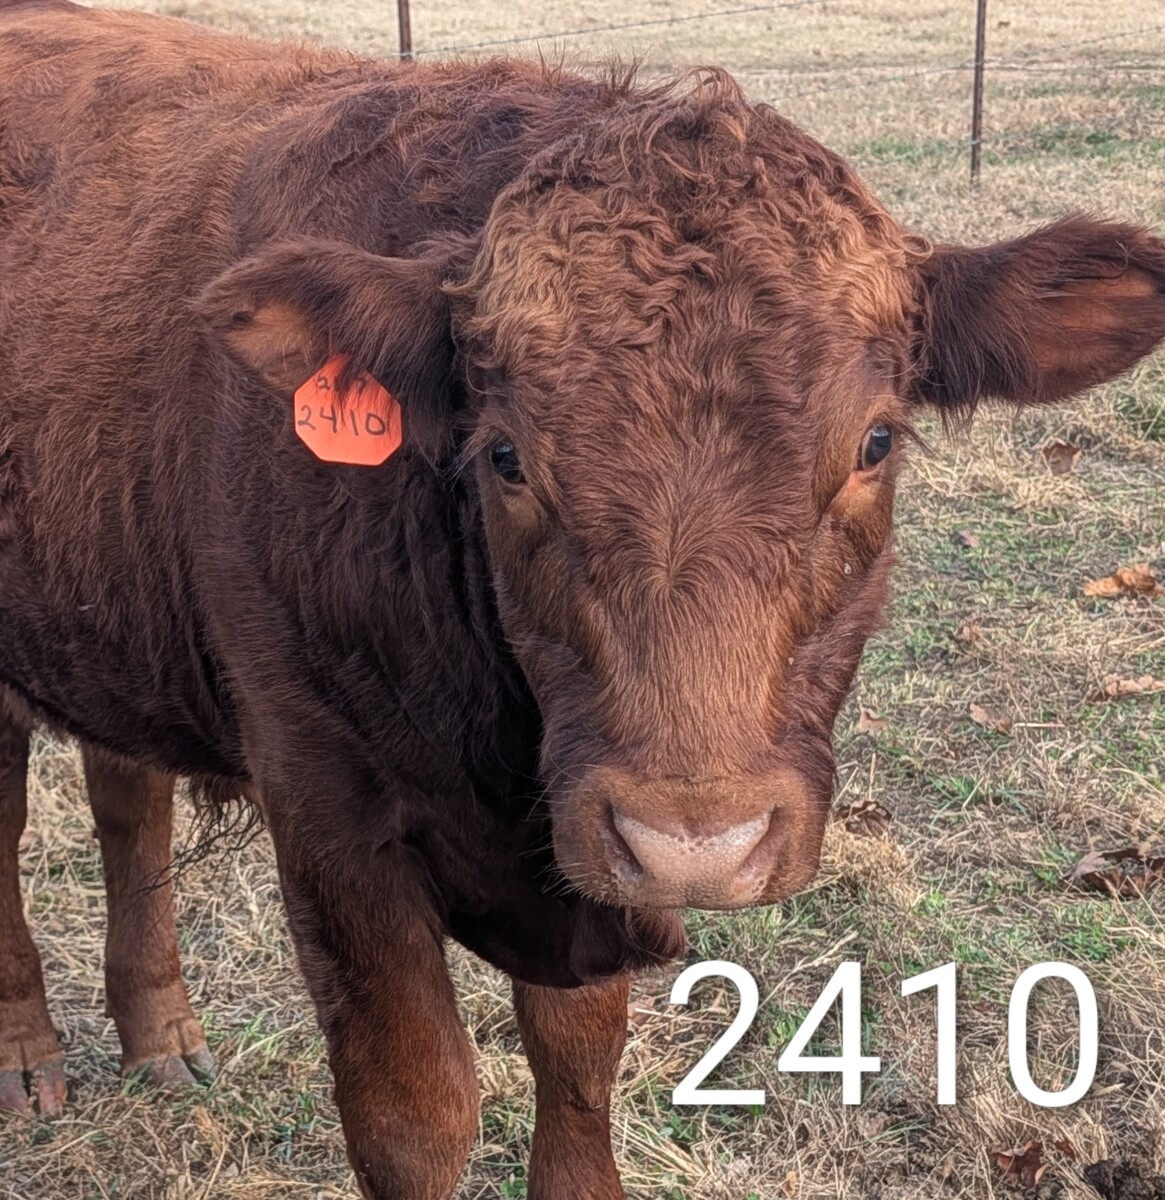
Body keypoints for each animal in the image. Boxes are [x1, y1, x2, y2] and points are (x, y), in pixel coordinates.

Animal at [1, 1, 1163, 1196]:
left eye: (875, 442)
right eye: (504, 454)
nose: (696, 843)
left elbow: (575, 1059)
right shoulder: (329, 817)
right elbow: (416, 1114)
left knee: (125, 795)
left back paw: (162, 1041)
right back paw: (29, 1061)